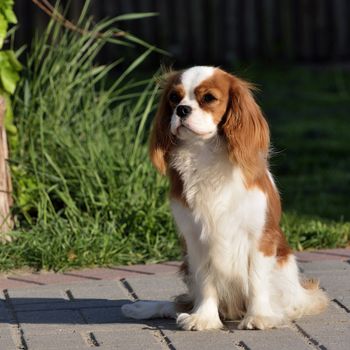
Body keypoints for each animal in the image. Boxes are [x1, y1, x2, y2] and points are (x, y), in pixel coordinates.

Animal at [121, 66, 330, 330]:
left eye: (209, 98)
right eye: (174, 98)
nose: (182, 109)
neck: (205, 153)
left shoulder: (259, 237)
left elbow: (257, 279)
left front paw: (259, 317)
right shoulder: (196, 240)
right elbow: (206, 281)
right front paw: (204, 318)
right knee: (181, 302)